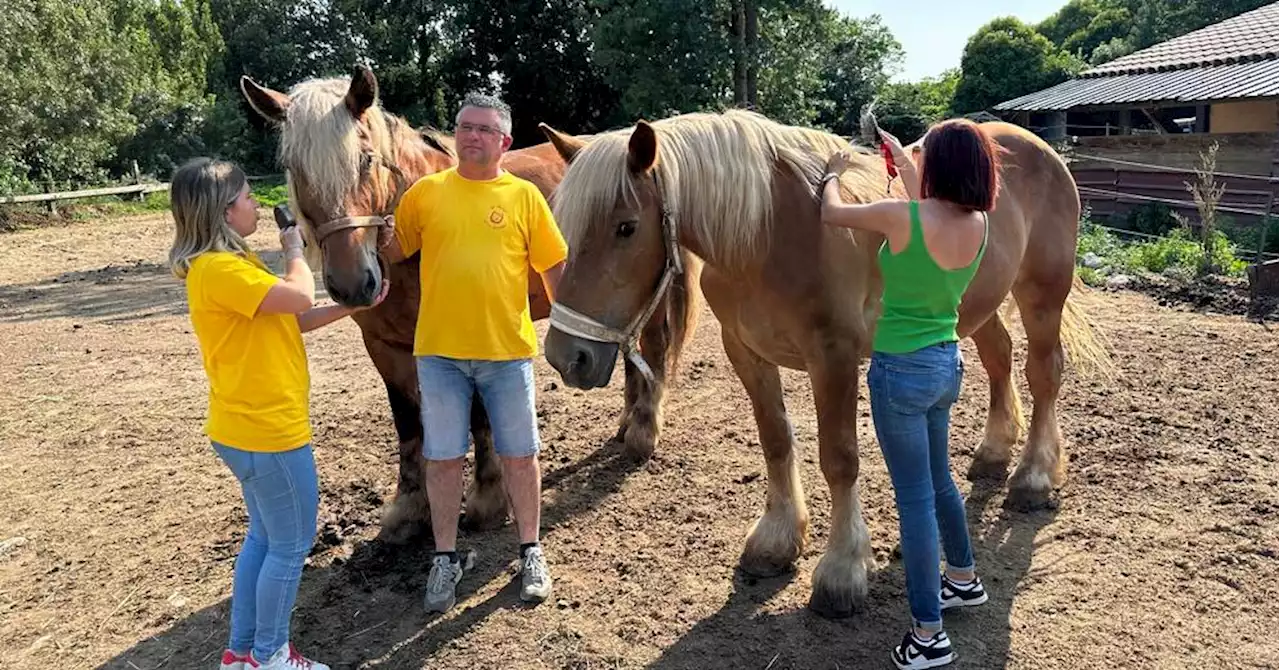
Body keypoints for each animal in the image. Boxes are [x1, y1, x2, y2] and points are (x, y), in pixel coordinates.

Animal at [239, 64, 701, 545]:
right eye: (294, 169)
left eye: (365, 159)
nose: (354, 284)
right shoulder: (383, 347)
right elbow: (407, 422)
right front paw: (409, 509)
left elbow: (479, 418)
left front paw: (487, 499)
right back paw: (626, 424)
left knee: (653, 350)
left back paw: (642, 433)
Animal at [540, 108, 1111, 620]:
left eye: (626, 227)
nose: (568, 357)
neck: (770, 231)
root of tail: (1038, 150)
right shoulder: (744, 351)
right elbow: (775, 440)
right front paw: (776, 541)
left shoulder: (832, 357)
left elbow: (839, 459)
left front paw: (841, 572)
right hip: (977, 305)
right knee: (1000, 359)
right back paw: (993, 453)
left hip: (1042, 295)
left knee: (1044, 374)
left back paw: (1033, 477)